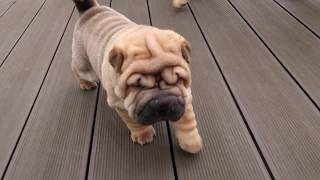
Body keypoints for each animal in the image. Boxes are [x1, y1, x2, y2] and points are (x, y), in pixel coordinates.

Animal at [72, 0, 202, 154]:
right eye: (137, 86)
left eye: (177, 79)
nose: (163, 103)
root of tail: (89, 10)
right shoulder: (122, 105)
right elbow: (134, 122)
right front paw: (143, 134)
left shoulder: (184, 95)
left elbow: (187, 121)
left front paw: (192, 142)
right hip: (85, 66)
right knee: (78, 70)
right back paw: (85, 84)